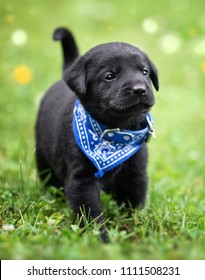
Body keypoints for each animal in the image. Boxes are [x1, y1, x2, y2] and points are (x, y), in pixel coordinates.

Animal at [35, 27, 159, 241]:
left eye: (145, 72)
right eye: (109, 76)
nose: (140, 89)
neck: (116, 134)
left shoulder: (136, 174)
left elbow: (133, 203)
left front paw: (135, 227)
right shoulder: (82, 180)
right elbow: (91, 214)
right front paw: (100, 239)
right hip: (43, 159)